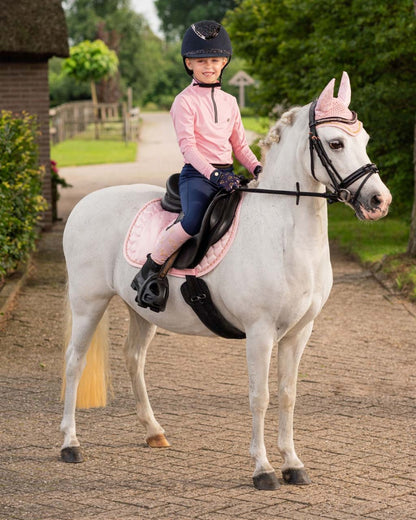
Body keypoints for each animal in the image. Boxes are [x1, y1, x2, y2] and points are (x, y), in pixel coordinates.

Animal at [61, 74, 390, 492]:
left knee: (133, 358)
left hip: (142, 311)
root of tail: (85, 204)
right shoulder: (260, 331)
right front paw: (263, 469)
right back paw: (70, 444)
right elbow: (259, 396)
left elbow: (287, 395)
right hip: (88, 303)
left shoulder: (300, 331)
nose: (379, 201)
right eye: (335, 143)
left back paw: (153, 432)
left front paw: (293, 463)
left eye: (364, 139)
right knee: (74, 362)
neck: (283, 231)